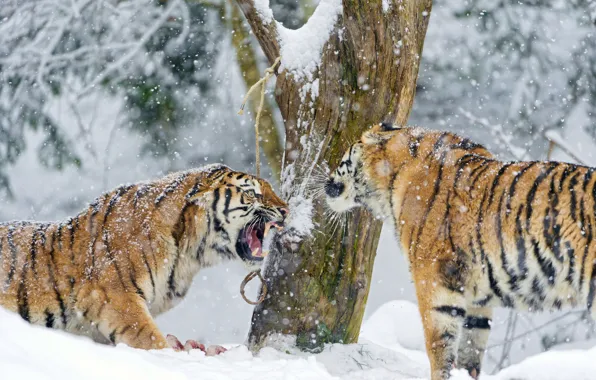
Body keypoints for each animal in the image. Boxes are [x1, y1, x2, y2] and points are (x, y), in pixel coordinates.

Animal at [324, 123, 596, 380]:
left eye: (342, 160)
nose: (326, 183)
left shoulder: (433, 279)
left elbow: (439, 346)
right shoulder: (477, 296)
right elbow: (471, 346)